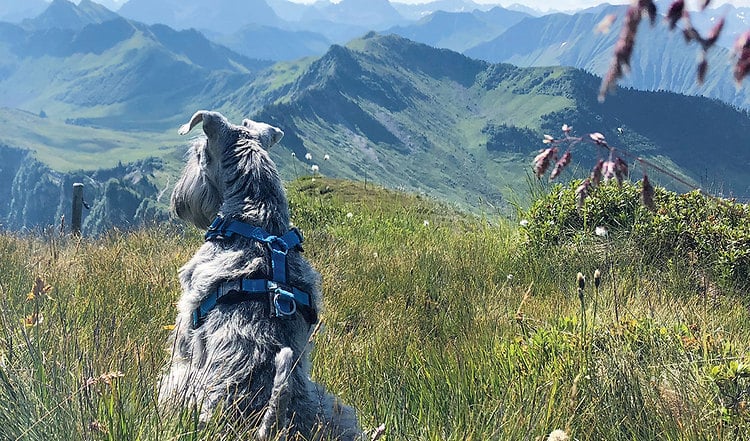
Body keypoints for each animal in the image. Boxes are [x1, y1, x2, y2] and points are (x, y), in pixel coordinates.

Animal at [162, 111, 364, 440]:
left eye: (198, 153)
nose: (179, 200)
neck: (258, 219)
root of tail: (271, 423)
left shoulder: (186, 323)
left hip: (182, 387)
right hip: (336, 410)